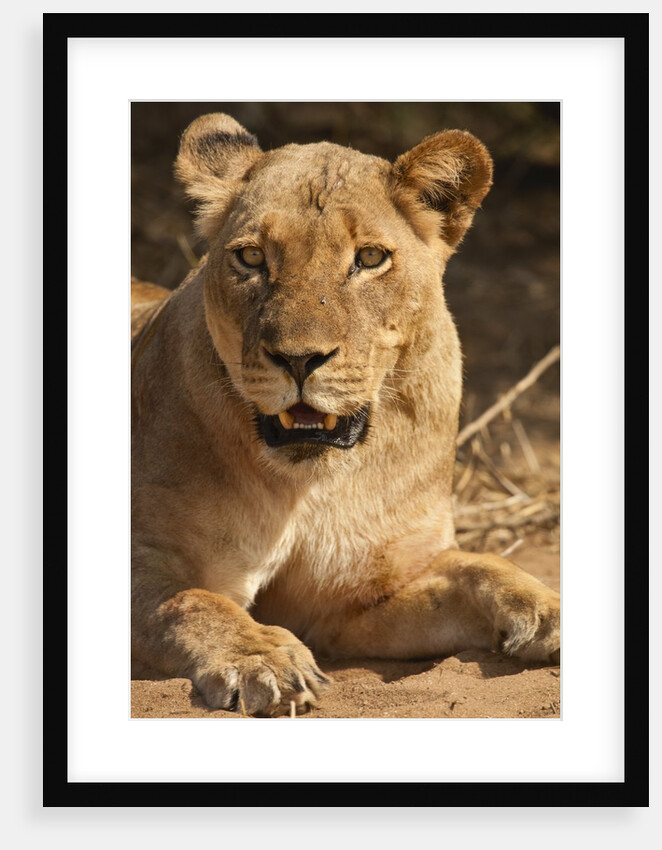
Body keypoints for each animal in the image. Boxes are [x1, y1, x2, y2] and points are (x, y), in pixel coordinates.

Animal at [131, 113, 560, 717]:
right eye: (252, 257)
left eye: (370, 258)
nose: (298, 359)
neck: (307, 487)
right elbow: (190, 601)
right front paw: (262, 657)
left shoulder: (349, 605)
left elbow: (471, 567)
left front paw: (547, 609)